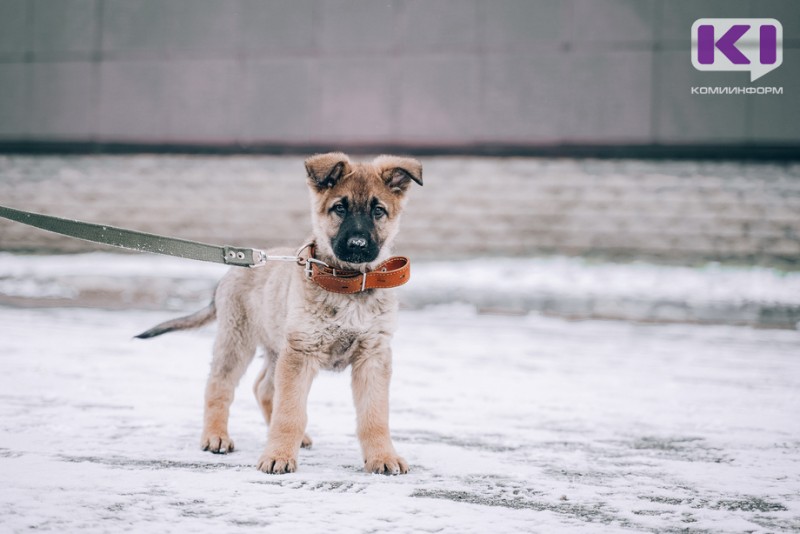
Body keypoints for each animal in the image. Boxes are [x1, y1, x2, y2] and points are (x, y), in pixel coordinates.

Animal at [136, 154, 424, 478]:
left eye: (378, 211)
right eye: (340, 208)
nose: (358, 246)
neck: (347, 284)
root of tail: (233, 269)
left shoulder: (372, 357)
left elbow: (374, 415)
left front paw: (383, 456)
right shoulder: (300, 353)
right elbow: (290, 412)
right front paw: (278, 456)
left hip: (276, 349)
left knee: (263, 387)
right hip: (238, 343)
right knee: (219, 386)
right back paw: (215, 436)